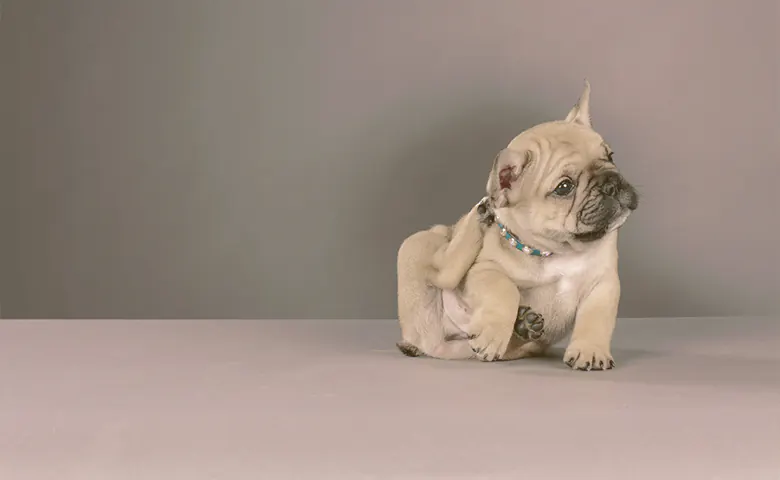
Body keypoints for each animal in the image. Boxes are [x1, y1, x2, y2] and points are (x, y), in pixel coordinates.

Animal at [396, 81, 640, 372]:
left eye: (610, 156)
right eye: (564, 187)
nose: (610, 184)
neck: (560, 249)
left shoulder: (603, 283)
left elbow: (596, 318)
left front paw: (590, 350)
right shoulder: (485, 270)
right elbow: (505, 290)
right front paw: (492, 333)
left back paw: (524, 324)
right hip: (418, 245)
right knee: (444, 270)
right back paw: (479, 215)